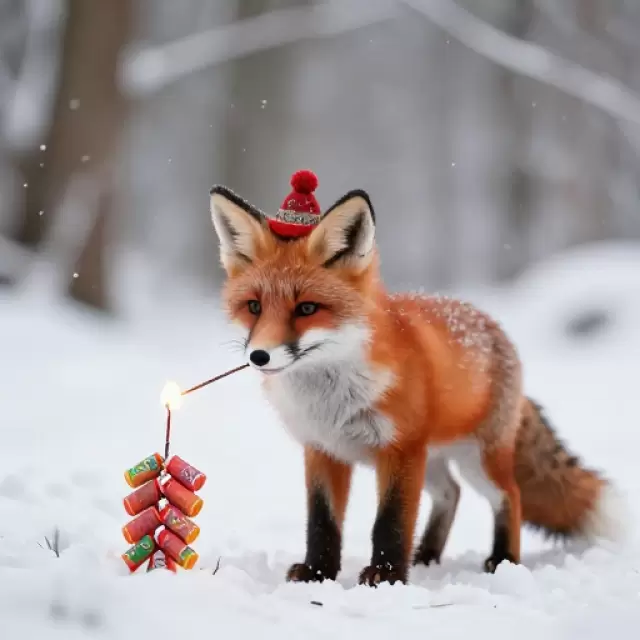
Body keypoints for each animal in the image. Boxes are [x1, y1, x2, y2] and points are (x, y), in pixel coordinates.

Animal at [208, 170, 625, 587]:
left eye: (307, 309)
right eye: (254, 307)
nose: (259, 356)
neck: (330, 400)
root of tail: (494, 327)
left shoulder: (400, 450)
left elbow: (391, 521)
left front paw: (386, 575)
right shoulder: (323, 450)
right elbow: (322, 521)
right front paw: (318, 572)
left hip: (476, 461)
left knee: (510, 496)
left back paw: (502, 560)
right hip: (434, 460)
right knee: (450, 494)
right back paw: (427, 556)